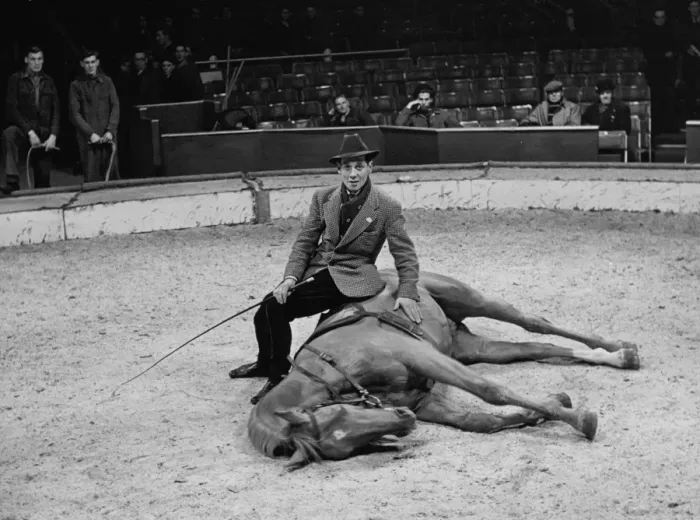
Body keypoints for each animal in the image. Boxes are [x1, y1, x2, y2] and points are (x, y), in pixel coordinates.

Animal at [245, 269, 640, 470]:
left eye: (336, 416)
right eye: (348, 444)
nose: (403, 419)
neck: (334, 367)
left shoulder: (420, 355)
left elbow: (489, 391)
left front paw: (582, 420)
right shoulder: (424, 402)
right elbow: (480, 421)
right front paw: (550, 407)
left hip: (470, 300)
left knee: (534, 323)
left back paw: (621, 349)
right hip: (470, 348)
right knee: (538, 348)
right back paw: (616, 356)